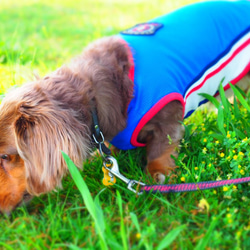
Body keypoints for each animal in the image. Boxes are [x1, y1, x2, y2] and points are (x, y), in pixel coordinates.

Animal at [1, 0, 250, 214]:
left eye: (4, 156)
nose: (3, 214)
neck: (94, 96)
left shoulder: (168, 117)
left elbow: (162, 149)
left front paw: (157, 174)